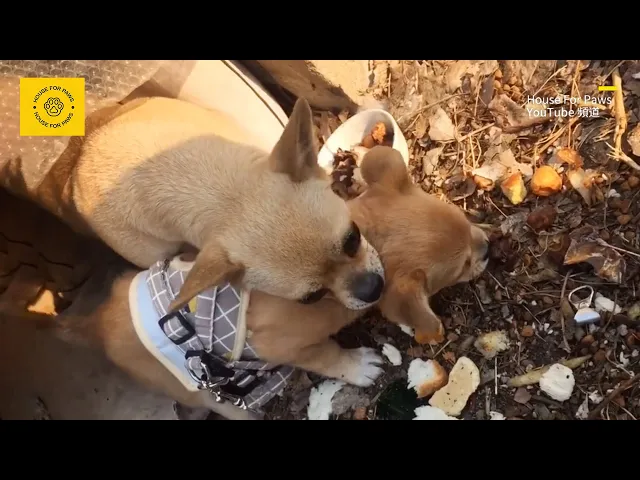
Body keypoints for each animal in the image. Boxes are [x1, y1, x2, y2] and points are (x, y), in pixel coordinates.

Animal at [17, 146, 489, 420]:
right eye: (463, 264)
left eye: (465, 222)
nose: (490, 247)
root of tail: (92, 323)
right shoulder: (285, 344)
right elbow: (328, 355)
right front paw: (358, 366)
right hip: (200, 393)